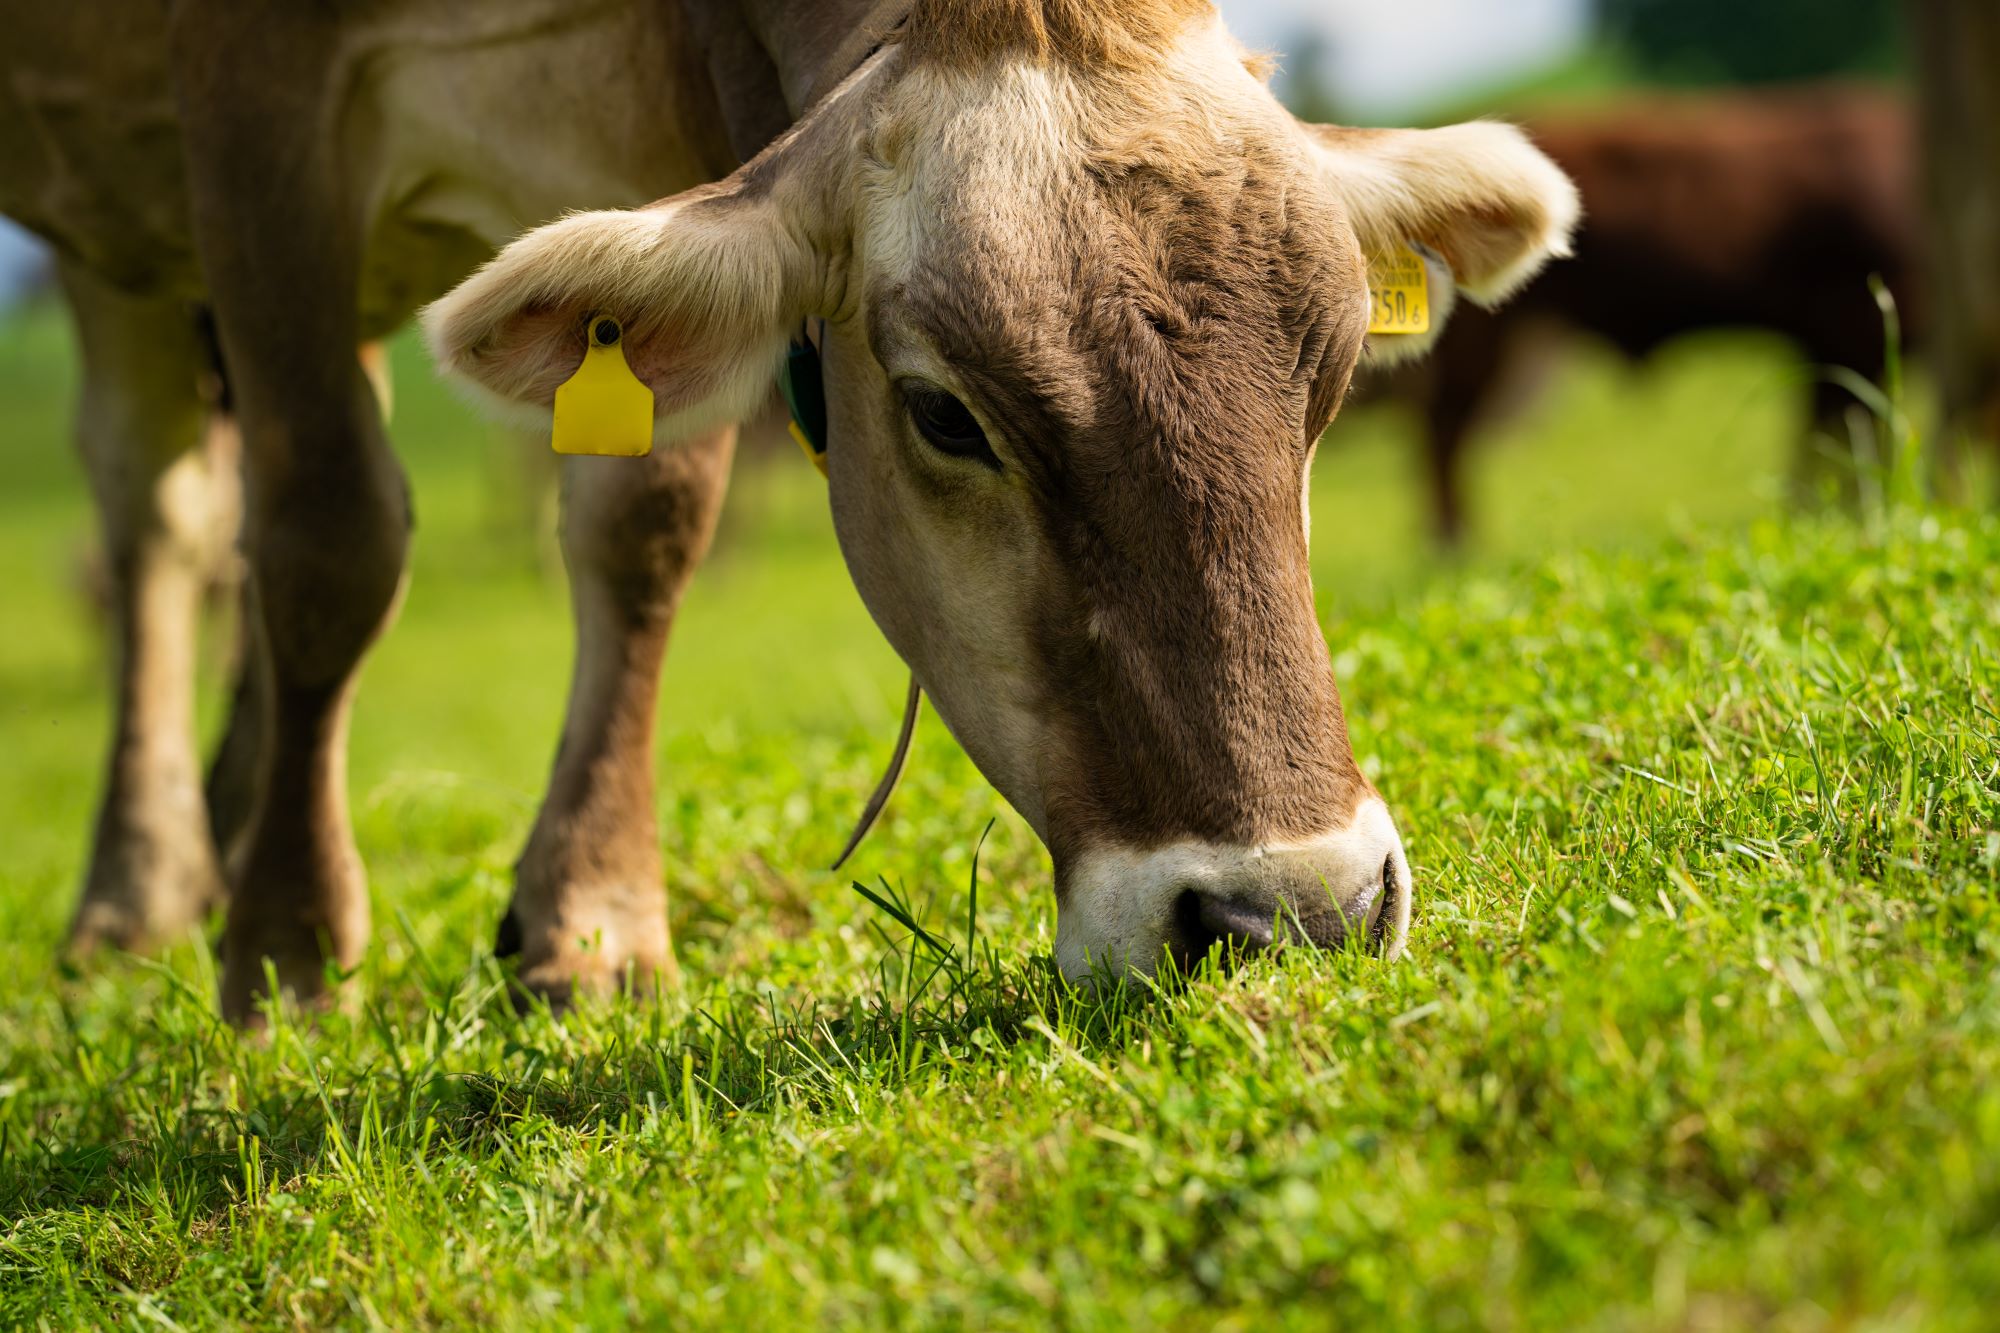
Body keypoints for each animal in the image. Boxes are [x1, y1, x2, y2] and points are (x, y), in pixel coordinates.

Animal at [3, 0, 1576, 1023]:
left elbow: (643, 523)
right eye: (946, 413)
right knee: (165, 511)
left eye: (1332, 378)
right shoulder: (253, 107)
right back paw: (140, 888)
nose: (1295, 911)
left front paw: (590, 915)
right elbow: (331, 531)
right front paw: (284, 950)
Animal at [1362, 85, 1920, 544]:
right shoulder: (1851, 331)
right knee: (1444, 429)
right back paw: (1454, 541)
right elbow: (1845, 436)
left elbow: (1834, 439)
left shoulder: (1832, 345)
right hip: (1488, 341)